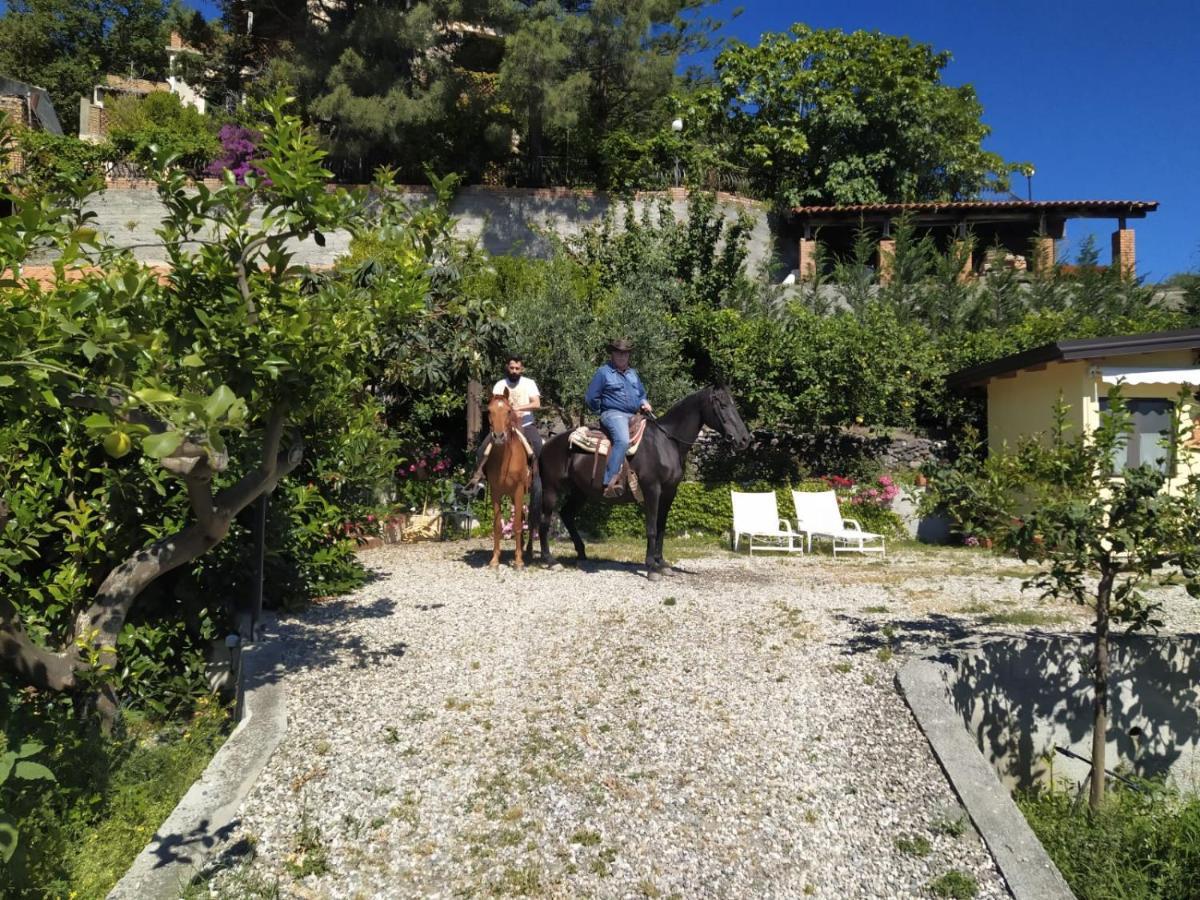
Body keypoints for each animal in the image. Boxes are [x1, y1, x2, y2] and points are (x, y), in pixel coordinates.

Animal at [480, 388, 537, 566]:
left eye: (508, 411)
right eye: (489, 411)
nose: (499, 436)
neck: (505, 461)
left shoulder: (518, 490)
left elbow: (518, 524)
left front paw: (518, 561)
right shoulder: (496, 493)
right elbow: (497, 526)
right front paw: (495, 559)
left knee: (530, 520)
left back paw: (528, 551)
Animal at [537, 384, 748, 580]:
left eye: (734, 404)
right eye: (722, 405)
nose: (745, 439)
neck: (667, 442)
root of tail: (547, 444)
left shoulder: (669, 492)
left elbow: (661, 527)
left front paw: (662, 563)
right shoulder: (652, 489)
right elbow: (652, 528)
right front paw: (651, 567)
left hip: (580, 492)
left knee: (566, 515)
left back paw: (581, 554)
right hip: (551, 489)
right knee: (545, 522)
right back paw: (551, 560)